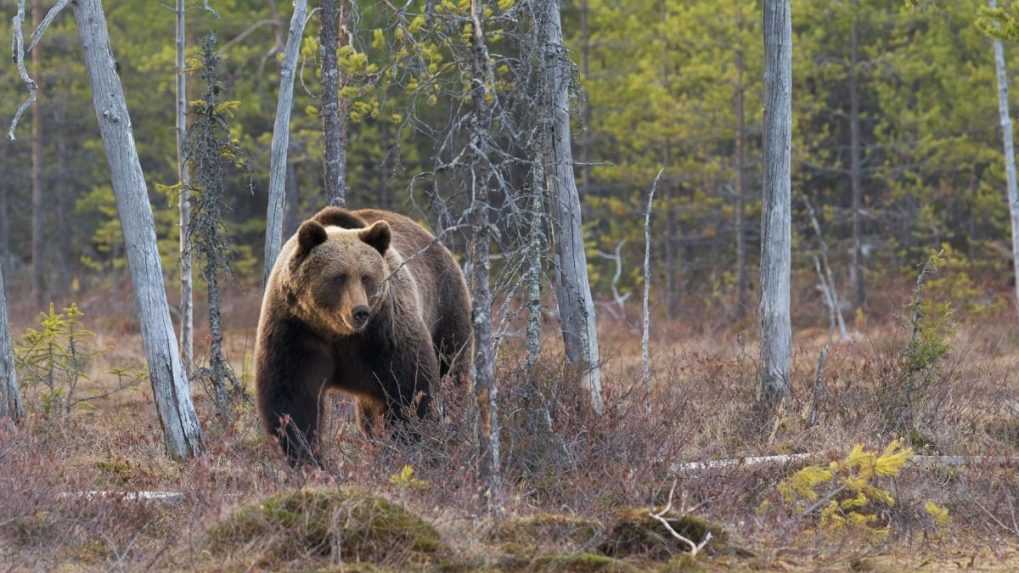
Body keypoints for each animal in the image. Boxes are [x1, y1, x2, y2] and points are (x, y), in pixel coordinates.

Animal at [258, 204, 472, 464]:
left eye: (366, 276)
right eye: (338, 277)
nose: (360, 311)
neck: (336, 332)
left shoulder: (385, 332)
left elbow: (411, 389)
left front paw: (411, 444)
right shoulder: (296, 330)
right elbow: (293, 398)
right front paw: (306, 456)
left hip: (445, 309)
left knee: (451, 370)